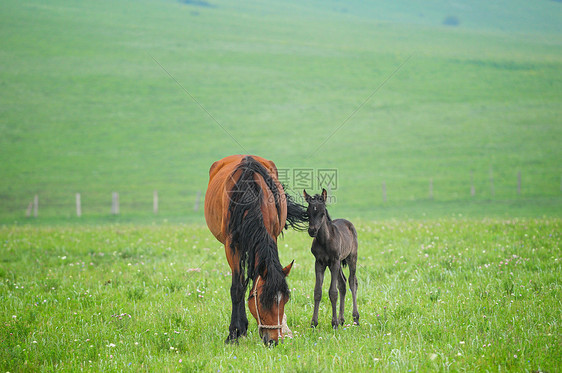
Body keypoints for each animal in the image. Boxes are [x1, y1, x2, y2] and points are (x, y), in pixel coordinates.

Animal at [202, 155, 304, 346]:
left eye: (285, 300)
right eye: (262, 302)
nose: (273, 341)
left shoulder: (272, 235)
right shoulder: (232, 246)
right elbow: (238, 288)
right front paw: (234, 332)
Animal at [302, 189, 358, 328]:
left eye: (322, 213)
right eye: (307, 213)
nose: (312, 231)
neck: (324, 241)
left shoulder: (334, 261)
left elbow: (333, 292)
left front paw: (334, 324)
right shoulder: (319, 262)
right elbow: (317, 291)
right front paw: (314, 323)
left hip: (351, 257)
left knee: (352, 282)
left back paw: (355, 318)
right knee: (343, 283)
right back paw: (342, 319)